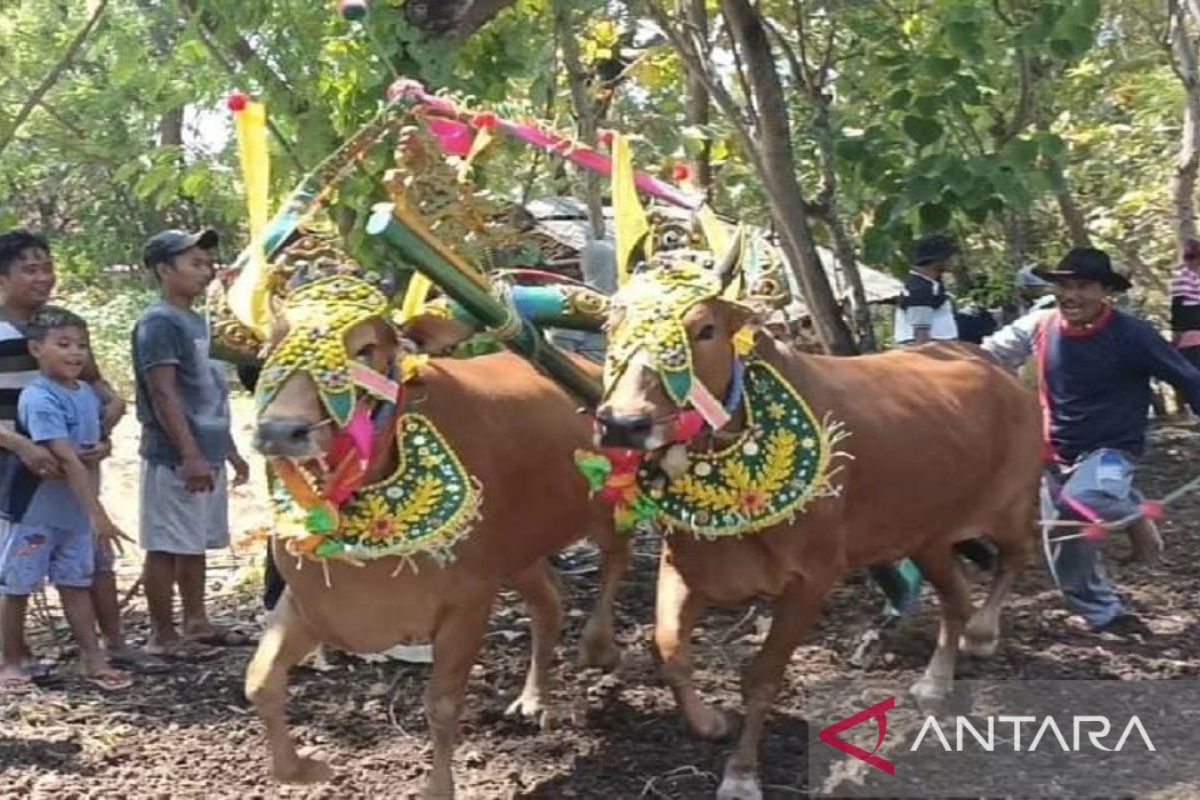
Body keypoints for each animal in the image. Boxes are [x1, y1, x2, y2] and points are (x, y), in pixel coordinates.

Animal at [249, 309, 633, 796]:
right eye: (271, 344)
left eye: (365, 348)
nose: (280, 431)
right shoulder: (306, 606)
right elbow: (259, 682)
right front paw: (306, 769)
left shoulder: (467, 605)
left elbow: (442, 703)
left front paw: (437, 788)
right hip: (520, 554)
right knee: (550, 603)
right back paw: (533, 698)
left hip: (609, 504)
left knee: (618, 558)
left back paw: (599, 645)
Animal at [595, 261, 1046, 796]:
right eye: (611, 323)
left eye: (703, 330)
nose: (623, 423)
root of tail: (996, 367)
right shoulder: (684, 565)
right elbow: (669, 651)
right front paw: (712, 722)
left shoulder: (812, 579)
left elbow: (762, 677)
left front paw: (741, 773)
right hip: (926, 537)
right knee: (956, 597)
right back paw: (935, 680)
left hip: (1010, 505)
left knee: (1017, 557)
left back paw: (982, 633)